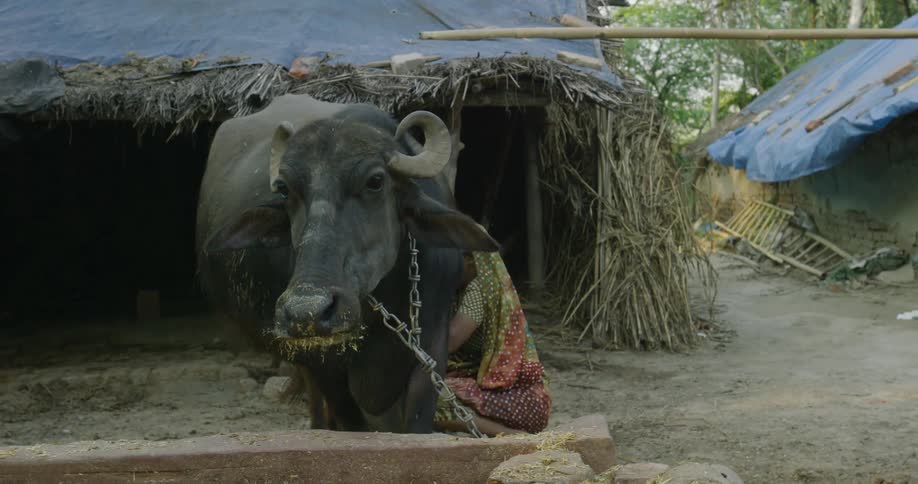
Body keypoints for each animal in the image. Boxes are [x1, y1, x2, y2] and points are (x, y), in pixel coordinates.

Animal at [195, 93, 497, 433]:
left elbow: (417, 420)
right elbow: (351, 421)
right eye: (284, 188)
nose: (307, 311)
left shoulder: (432, 340)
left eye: (375, 181)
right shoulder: (325, 363)